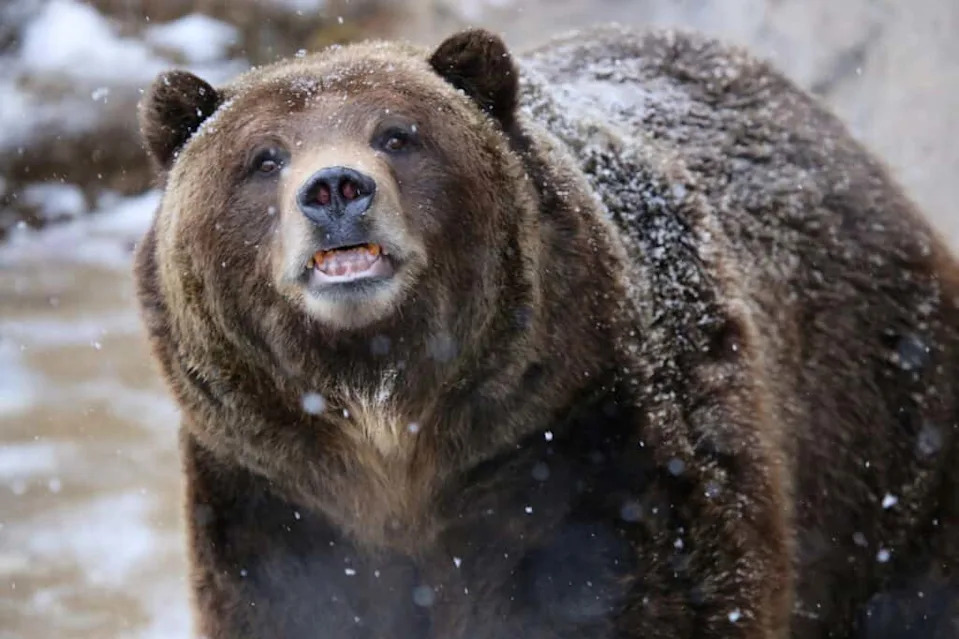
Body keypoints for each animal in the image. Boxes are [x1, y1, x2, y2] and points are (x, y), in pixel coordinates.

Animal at [133, 24, 959, 639]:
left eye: (397, 134)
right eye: (263, 156)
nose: (336, 188)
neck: (393, 433)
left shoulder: (586, 460)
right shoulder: (274, 508)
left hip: (883, 432)